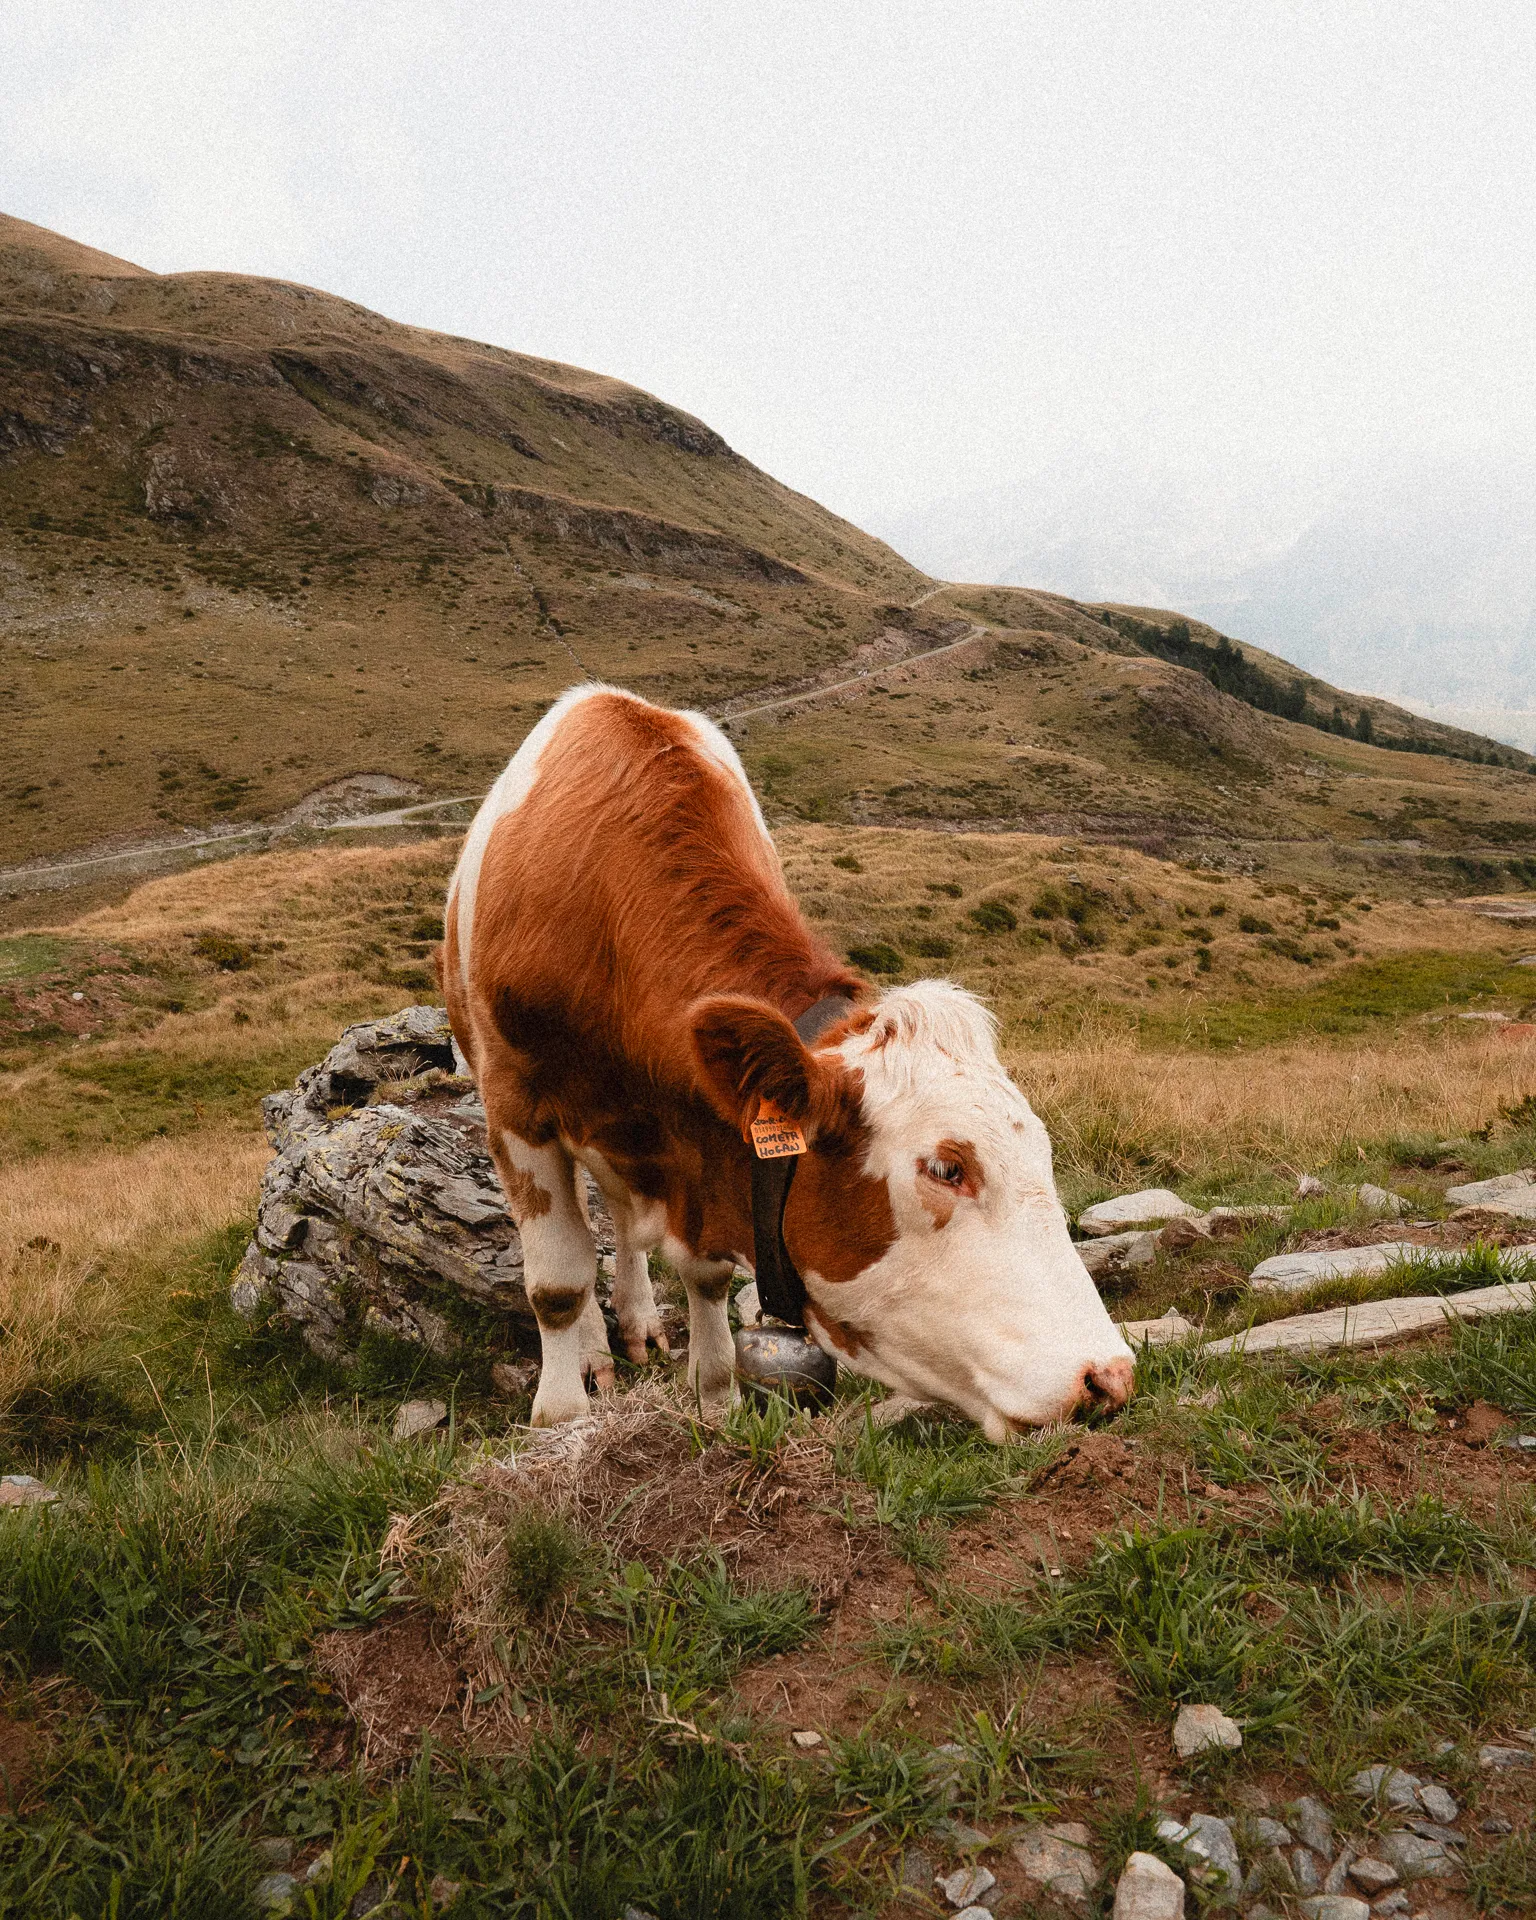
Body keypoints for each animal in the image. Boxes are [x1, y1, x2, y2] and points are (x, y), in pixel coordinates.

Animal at [441, 684, 1134, 1439]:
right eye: (946, 1169)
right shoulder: (515, 1108)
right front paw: (560, 1417)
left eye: (1044, 1151)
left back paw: (639, 1320)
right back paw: (595, 1351)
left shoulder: (704, 1150)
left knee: (622, 1221)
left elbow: (707, 1278)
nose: (1107, 1376)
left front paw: (716, 1396)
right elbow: (558, 1283)